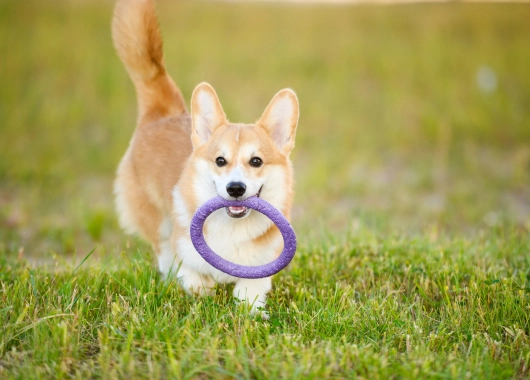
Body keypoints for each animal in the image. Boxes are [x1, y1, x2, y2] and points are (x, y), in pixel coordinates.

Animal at [111, 0, 296, 314]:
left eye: (256, 161)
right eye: (220, 161)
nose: (235, 189)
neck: (232, 229)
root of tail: (163, 113)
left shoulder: (262, 265)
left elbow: (250, 292)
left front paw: (251, 311)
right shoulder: (184, 249)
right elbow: (193, 276)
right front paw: (201, 292)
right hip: (157, 219)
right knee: (162, 249)